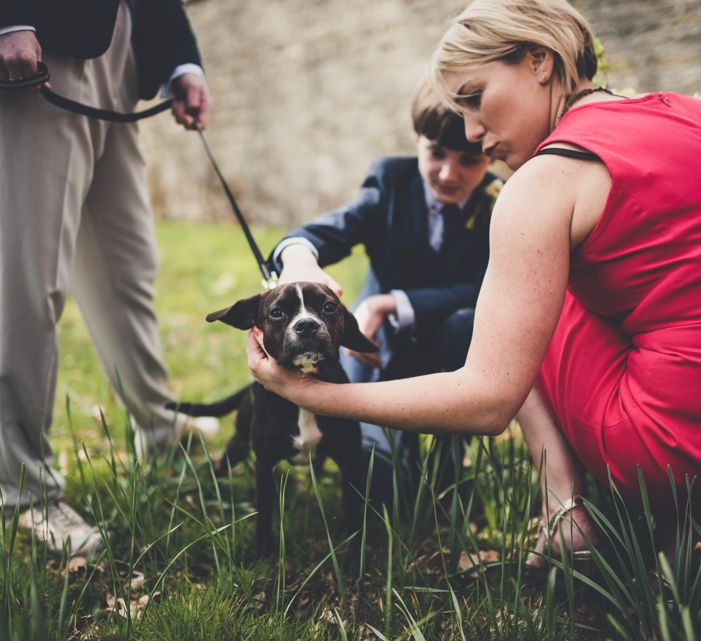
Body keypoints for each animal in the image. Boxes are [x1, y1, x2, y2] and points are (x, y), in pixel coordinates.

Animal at [170, 280, 378, 556]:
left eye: (329, 307)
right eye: (277, 313)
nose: (306, 325)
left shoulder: (349, 459)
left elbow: (353, 509)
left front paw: (356, 549)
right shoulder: (264, 463)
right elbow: (265, 511)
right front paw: (262, 550)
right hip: (239, 443)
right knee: (222, 463)